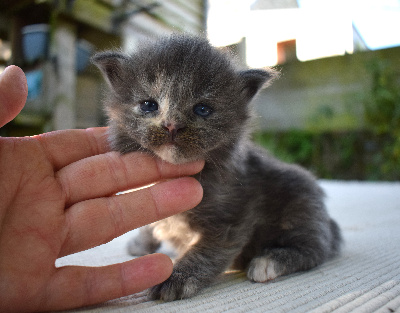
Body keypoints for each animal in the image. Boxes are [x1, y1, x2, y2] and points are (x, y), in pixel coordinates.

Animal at [92, 35, 342, 302]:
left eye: (203, 109)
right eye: (148, 105)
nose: (172, 125)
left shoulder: (232, 216)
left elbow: (206, 250)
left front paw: (176, 277)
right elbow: (150, 224)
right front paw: (140, 245)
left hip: (300, 198)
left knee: (316, 249)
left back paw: (267, 262)